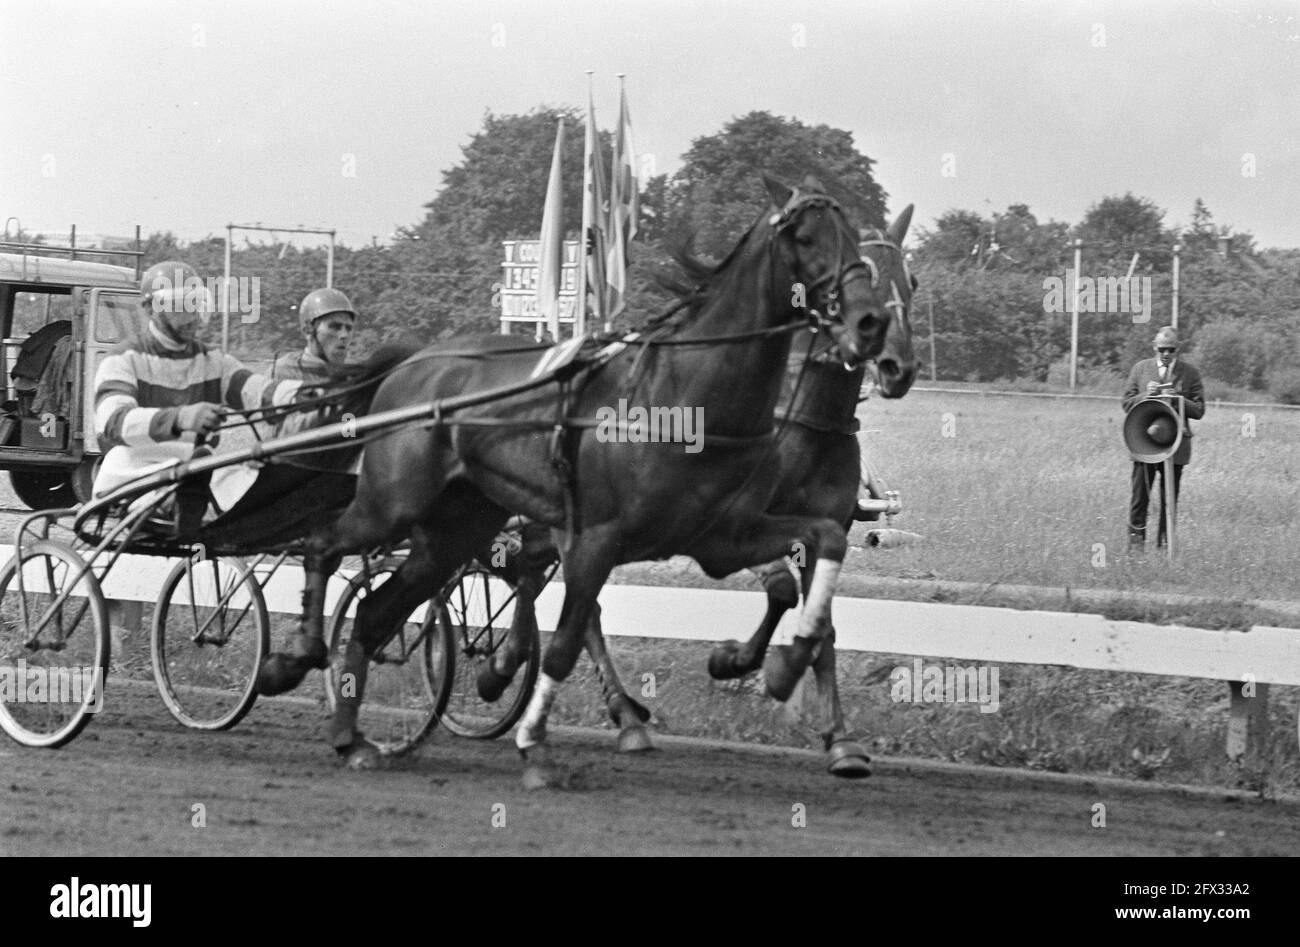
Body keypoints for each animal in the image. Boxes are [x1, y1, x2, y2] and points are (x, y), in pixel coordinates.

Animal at [258, 171, 920, 785]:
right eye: (806, 238)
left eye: (903, 278)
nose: (873, 330)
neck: (688, 394)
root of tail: (415, 361)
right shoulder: (599, 537)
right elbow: (567, 639)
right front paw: (533, 744)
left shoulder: (725, 538)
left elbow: (818, 566)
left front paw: (778, 671)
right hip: (395, 501)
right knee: (324, 546)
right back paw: (296, 658)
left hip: (454, 528)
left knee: (378, 611)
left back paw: (354, 736)